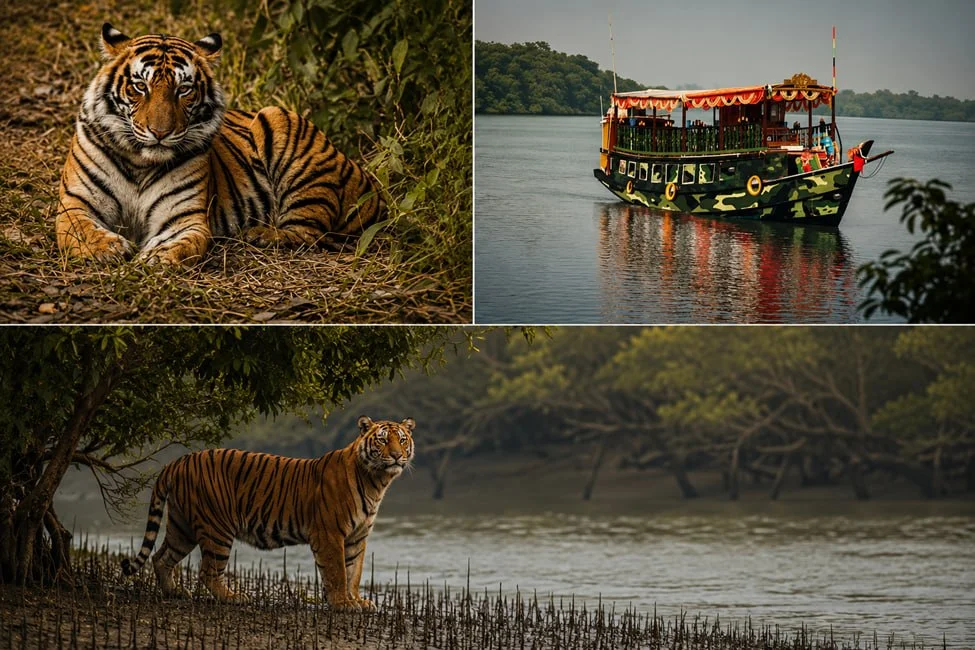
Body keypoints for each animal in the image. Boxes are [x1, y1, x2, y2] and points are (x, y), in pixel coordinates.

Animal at [57, 23, 384, 266]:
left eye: (183, 90)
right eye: (140, 86)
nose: (160, 132)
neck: (140, 161)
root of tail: (360, 170)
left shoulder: (185, 217)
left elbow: (181, 244)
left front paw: (158, 257)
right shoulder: (75, 203)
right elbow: (82, 230)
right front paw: (108, 248)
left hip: (281, 123)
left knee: (309, 231)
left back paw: (261, 234)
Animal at [120, 416, 415, 610]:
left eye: (401, 440)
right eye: (382, 440)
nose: (397, 455)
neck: (376, 481)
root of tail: (178, 460)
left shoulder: (357, 536)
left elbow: (354, 571)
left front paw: (357, 601)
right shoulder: (330, 533)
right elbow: (337, 571)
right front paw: (342, 603)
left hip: (182, 527)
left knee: (161, 557)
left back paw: (174, 592)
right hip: (217, 528)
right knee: (207, 571)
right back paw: (233, 598)